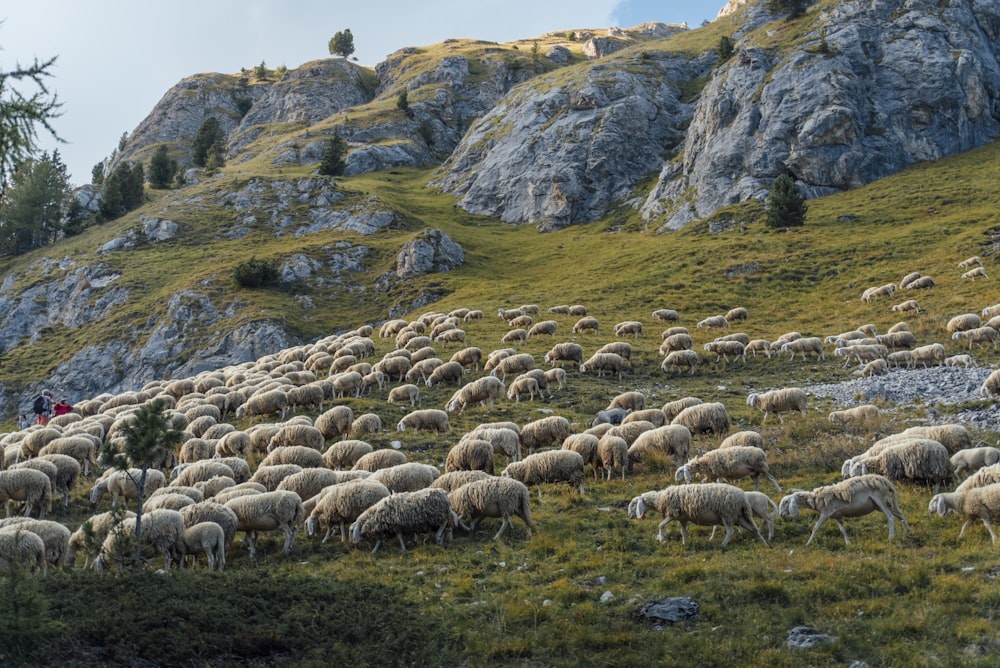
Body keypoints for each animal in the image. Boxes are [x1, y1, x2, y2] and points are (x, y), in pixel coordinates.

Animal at [628, 486, 768, 548]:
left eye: (634, 504)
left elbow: (660, 525)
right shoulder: (682, 518)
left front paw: (663, 540)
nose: (629, 516)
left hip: (727, 513)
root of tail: (743, 498)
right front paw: (684, 544)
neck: (660, 499)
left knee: (730, 531)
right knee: (754, 529)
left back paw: (722, 545)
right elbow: (683, 532)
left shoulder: (673, 513)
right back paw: (764, 544)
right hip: (739, 516)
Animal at [780, 472, 916, 544]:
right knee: (900, 514)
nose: (781, 515)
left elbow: (815, 528)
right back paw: (908, 531)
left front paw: (808, 543)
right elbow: (843, 530)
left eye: (786, 502)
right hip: (880, 504)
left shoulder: (826, 513)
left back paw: (891, 537)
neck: (815, 498)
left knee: (891, 517)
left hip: (880, 500)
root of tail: (887, 482)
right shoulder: (837, 515)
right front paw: (848, 543)